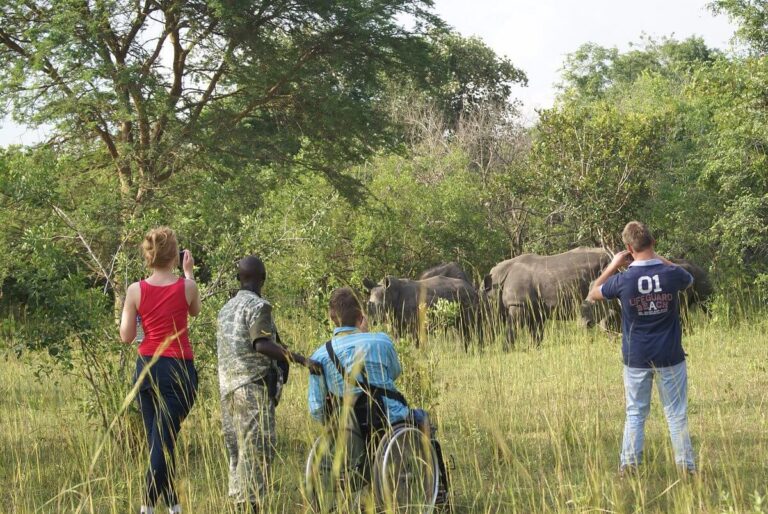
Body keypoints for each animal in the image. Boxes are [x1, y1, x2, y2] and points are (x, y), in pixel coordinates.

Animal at [482, 247, 611, 349]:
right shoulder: (535, 309)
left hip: (603, 269)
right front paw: (533, 348)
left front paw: (506, 350)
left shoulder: (517, 303)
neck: (498, 280)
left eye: (486, 312)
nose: (486, 340)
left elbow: (513, 327)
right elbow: (536, 332)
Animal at [581, 258, 713, 332]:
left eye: (596, 306)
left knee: (706, 305)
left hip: (700, 276)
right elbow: (607, 324)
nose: (585, 324)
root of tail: (697, 265)